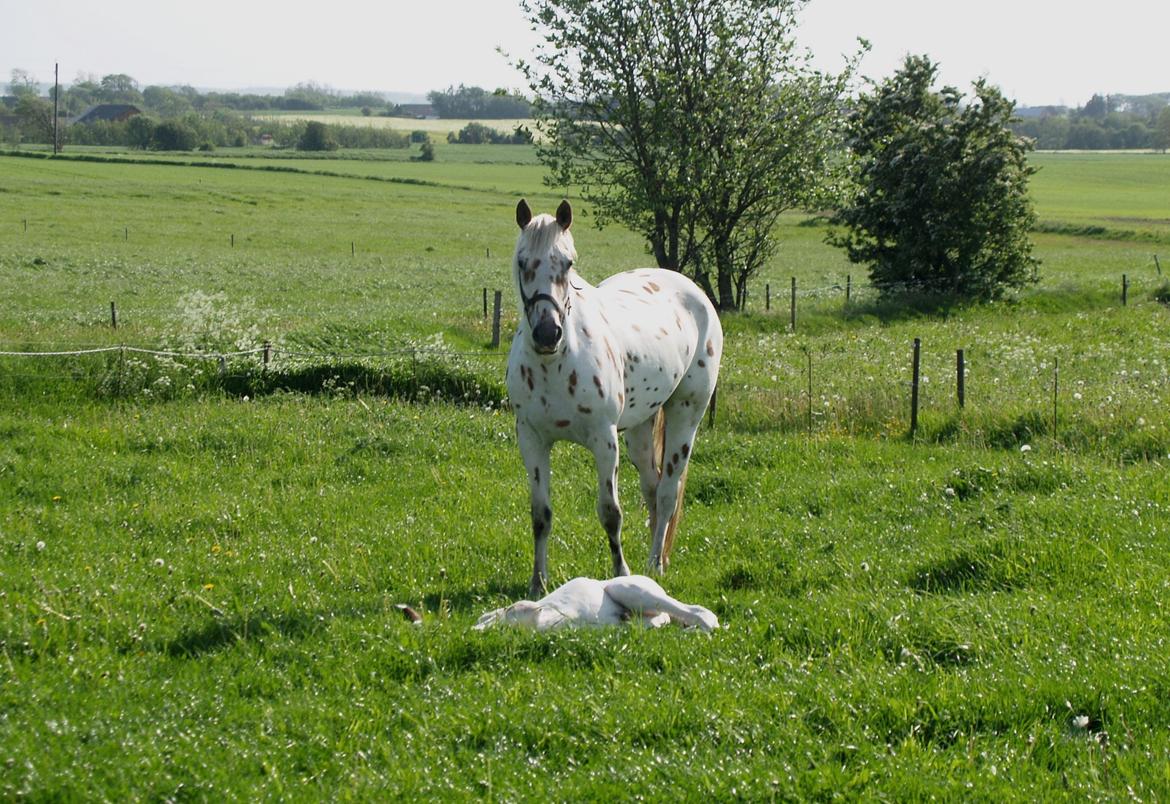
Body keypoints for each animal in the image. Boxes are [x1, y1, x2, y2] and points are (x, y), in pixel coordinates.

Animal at [505, 197, 720, 594]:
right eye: (522, 262)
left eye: (568, 263)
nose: (547, 333)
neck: (557, 363)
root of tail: (693, 291)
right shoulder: (532, 439)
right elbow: (540, 514)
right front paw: (538, 583)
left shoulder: (604, 441)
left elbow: (610, 513)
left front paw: (621, 573)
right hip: (639, 427)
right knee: (652, 486)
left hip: (686, 414)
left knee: (667, 491)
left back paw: (654, 564)